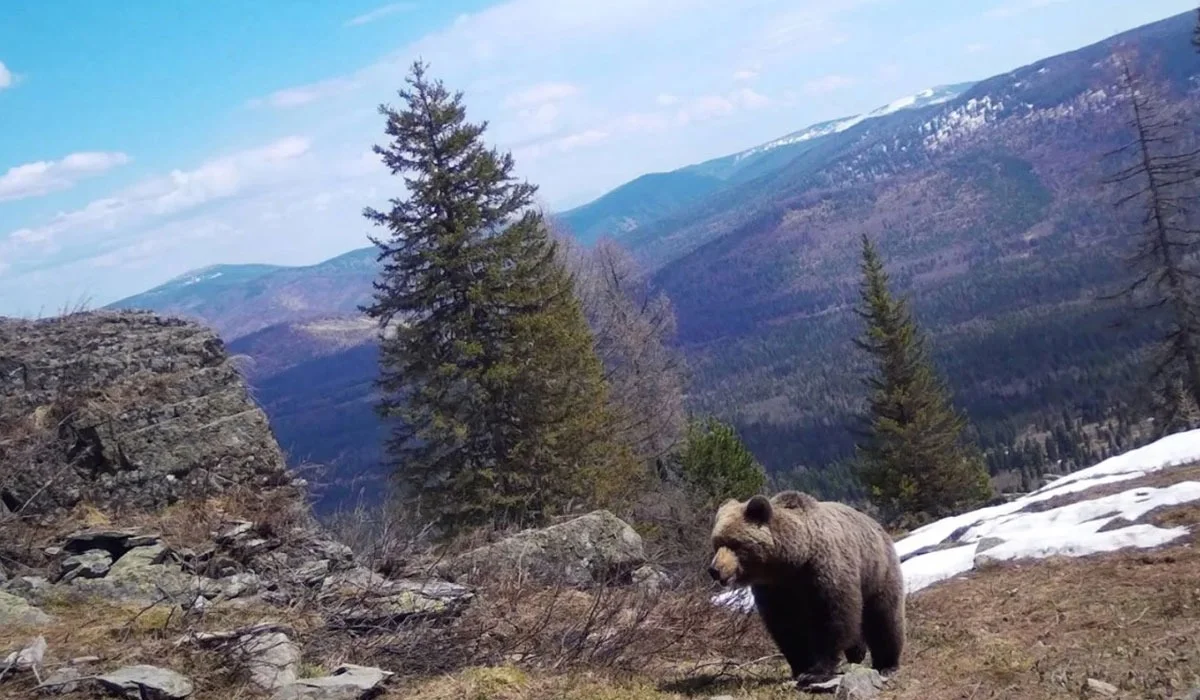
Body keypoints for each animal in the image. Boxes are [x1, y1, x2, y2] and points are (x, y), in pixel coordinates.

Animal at [705, 489, 902, 681]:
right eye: (716, 544)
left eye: (735, 544)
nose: (715, 570)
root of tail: (877, 526)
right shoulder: (774, 589)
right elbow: (786, 626)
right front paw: (802, 666)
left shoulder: (824, 571)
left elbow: (832, 617)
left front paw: (816, 671)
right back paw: (857, 652)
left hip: (877, 571)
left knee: (884, 616)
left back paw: (886, 665)